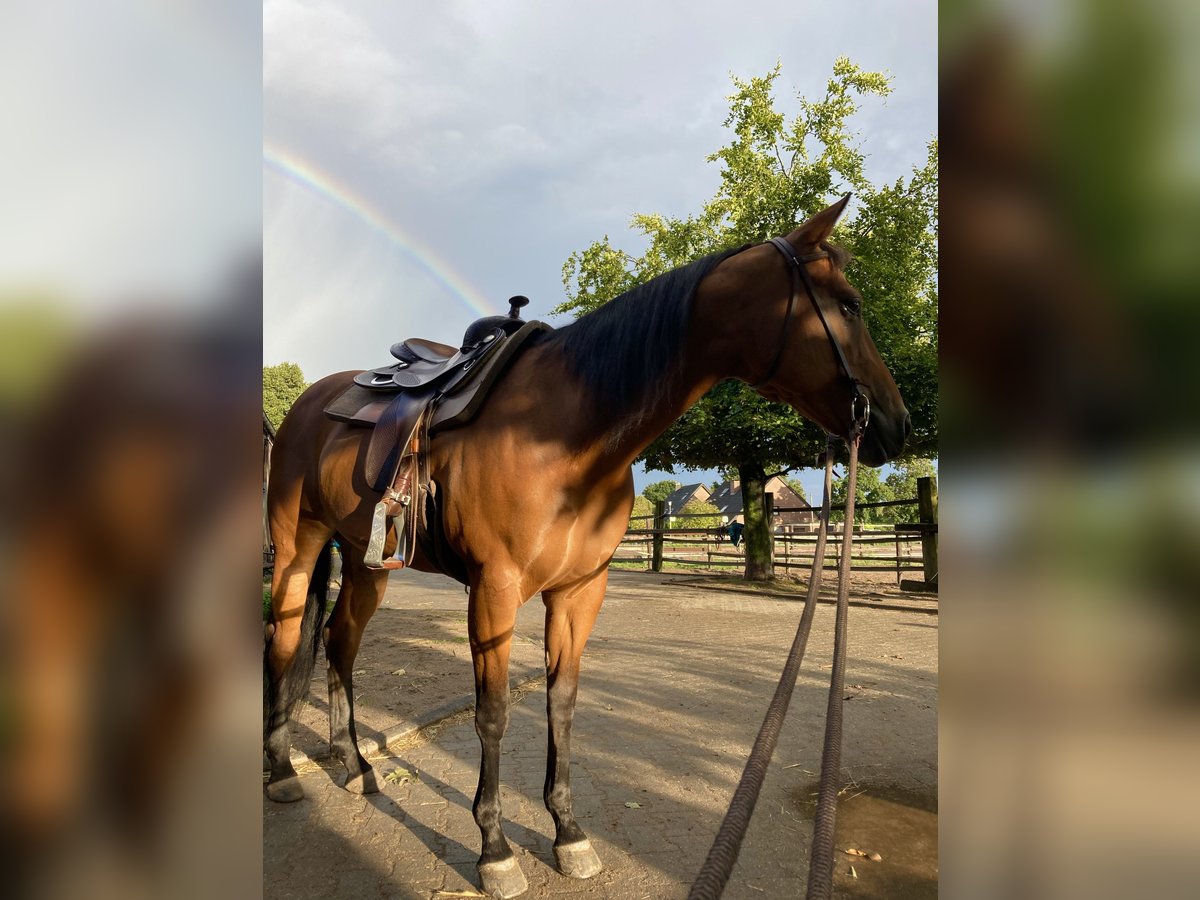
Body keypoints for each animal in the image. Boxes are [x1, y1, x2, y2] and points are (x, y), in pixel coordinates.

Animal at [262, 194, 907, 897]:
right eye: (849, 304)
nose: (895, 425)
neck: (566, 433)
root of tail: (309, 402)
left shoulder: (579, 592)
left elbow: (562, 704)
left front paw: (568, 834)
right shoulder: (494, 590)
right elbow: (493, 713)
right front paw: (495, 850)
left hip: (368, 561)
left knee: (340, 645)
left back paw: (353, 767)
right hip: (296, 550)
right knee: (285, 641)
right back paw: (283, 771)